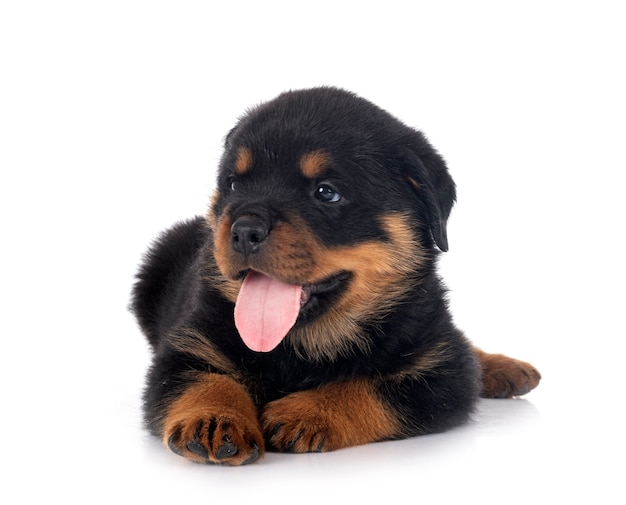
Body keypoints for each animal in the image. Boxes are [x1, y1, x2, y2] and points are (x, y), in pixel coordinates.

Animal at [130, 85, 536, 464]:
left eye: (326, 193)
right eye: (232, 183)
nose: (244, 230)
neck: (304, 343)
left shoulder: (441, 368)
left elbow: (374, 387)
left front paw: (306, 411)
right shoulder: (186, 346)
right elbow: (202, 380)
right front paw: (214, 420)